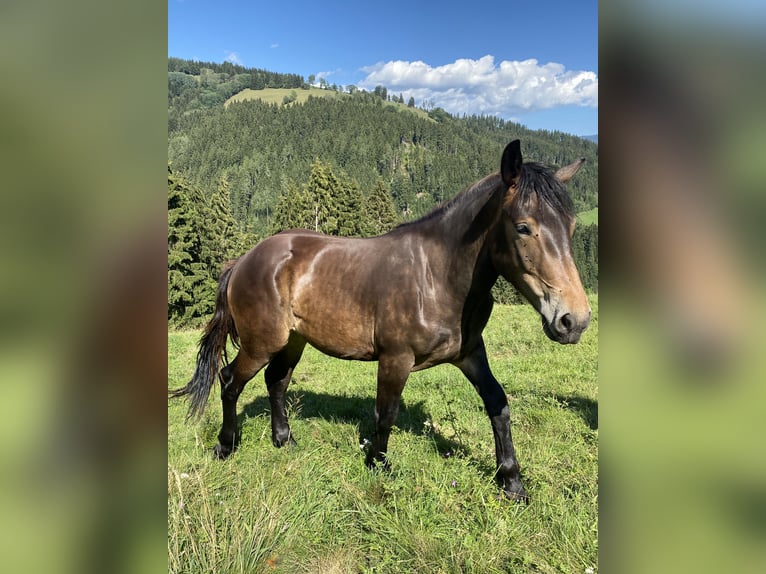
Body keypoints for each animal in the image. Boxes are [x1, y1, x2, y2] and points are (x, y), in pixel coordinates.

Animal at [170, 140, 590, 501]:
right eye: (523, 227)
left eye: (571, 226)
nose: (574, 321)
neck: (437, 276)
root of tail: (244, 260)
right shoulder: (395, 358)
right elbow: (385, 412)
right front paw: (378, 464)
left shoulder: (471, 353)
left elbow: (498, 404)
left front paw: (512, 482)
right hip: (262, 343)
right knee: (230, 381)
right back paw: (225, 446)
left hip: (293, 341)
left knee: (276, 381)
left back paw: (284, 440)